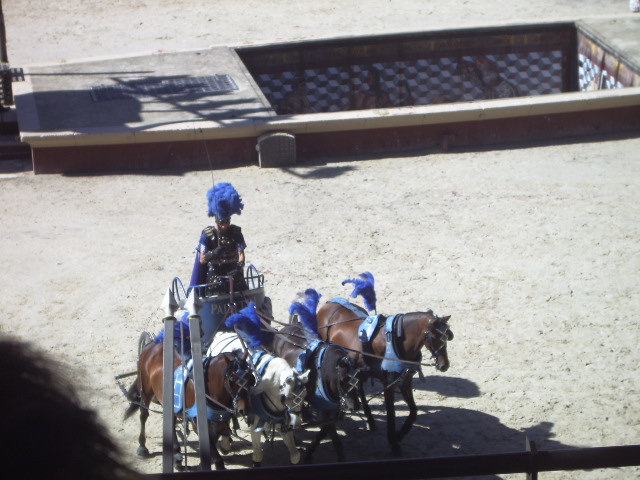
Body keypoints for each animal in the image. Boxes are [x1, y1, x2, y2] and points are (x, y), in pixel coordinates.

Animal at [124, 344, 254, 470]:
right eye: (232, 379)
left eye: (251, 377)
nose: (245, 408)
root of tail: (151, 345)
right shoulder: (197, 423)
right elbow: (218, 459)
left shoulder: (218, 421)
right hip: (145, 390)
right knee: (143, 415)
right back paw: (142, 447)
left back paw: (176, 454)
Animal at [208, 330, 310, 464]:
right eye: (286, 397)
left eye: (304, 397)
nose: (296, 425)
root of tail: (221, 334)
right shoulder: (256, 424)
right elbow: (257, 454)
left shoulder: (282, 421)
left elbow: (295, 455)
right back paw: (225, 444)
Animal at [318, 300, 452, 458]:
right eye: (435, 337)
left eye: (447, 336)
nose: (444, 365)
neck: (397, 342)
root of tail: (328, 303)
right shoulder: (389, 384)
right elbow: (391, 414)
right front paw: (394, 443)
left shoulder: (405, 381)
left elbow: (413, 411)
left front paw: (399, 435)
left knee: (359, 387)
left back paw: (370, 419)